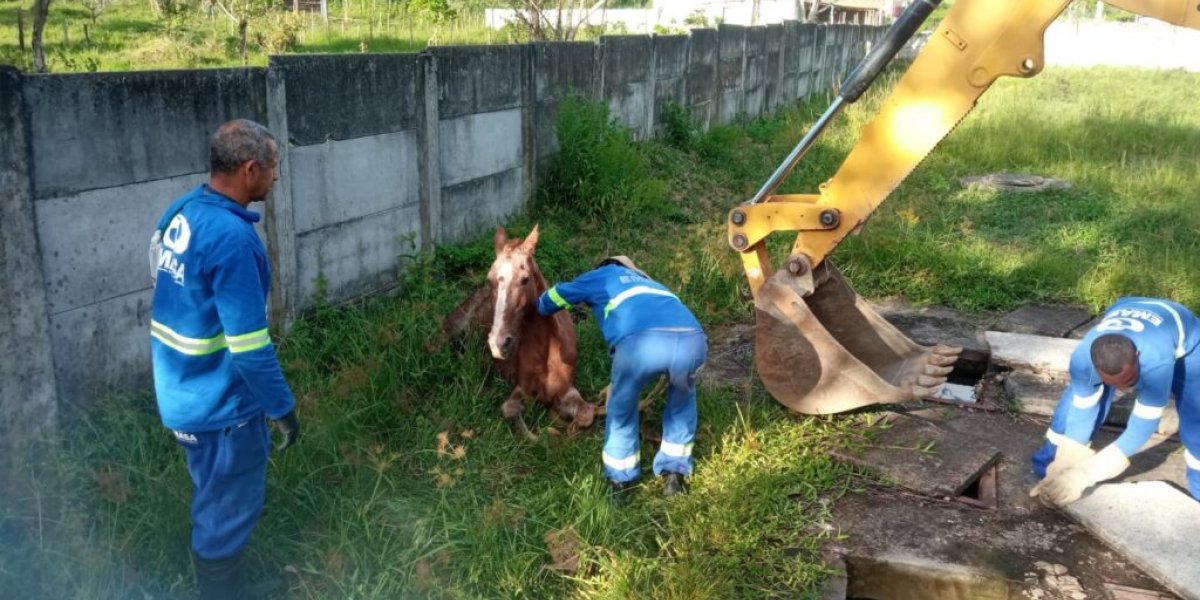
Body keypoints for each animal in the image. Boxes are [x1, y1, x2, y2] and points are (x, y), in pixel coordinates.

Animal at [431, 225, 597, 440]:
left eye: (525, 279)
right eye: (491, 278)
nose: (498, 343)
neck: (549, 349)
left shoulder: (567, 389)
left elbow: (587, 414)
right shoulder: (522, 388)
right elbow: (511, 412)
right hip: (449, 329)